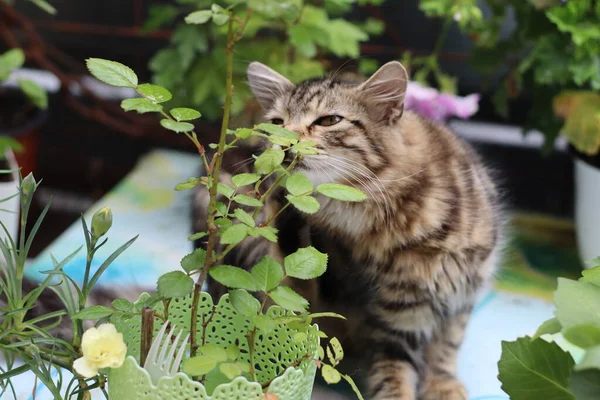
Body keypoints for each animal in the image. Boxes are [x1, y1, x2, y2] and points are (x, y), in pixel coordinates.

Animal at [193, 60, 502, 400]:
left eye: (329, 120)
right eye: (277, 122)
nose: (284, 143)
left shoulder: (460, 297)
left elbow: (445, 350)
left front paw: (444, 386)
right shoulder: (393, 319)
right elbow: (394, 380)